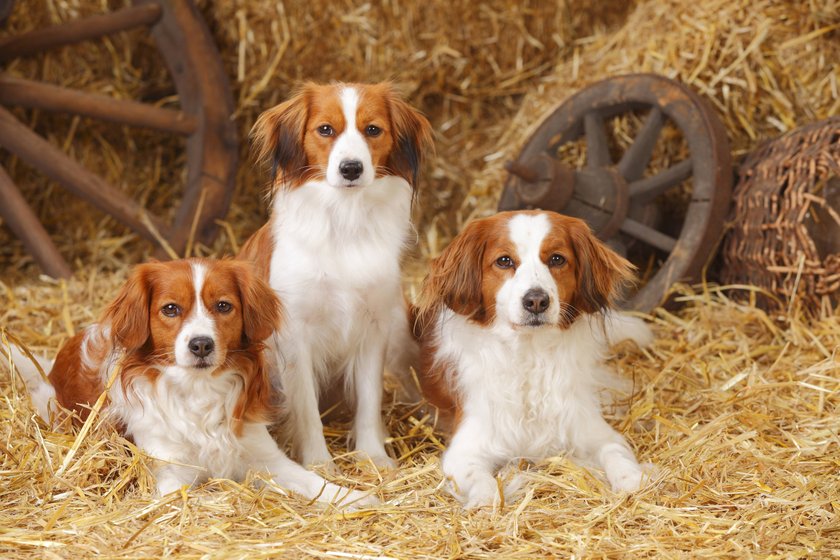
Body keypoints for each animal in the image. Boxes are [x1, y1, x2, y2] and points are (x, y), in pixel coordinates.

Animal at [236, 82, 434, 468]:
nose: (351, 168)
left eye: (373, 129)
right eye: (325, 129)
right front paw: (318, 462)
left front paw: (374, 458)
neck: (345, 220)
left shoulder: (375, 329)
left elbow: (370, 401)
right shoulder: (296, 337)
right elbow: (307, 410)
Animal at [414, 209, 656, 508]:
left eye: (557, 259)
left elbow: (615, 451)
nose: (537, 301)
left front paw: (632, 479)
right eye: (504, 261)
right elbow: (483, 484)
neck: (529, 355)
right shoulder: (464, 450)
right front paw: (485, 499)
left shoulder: (590, 428)